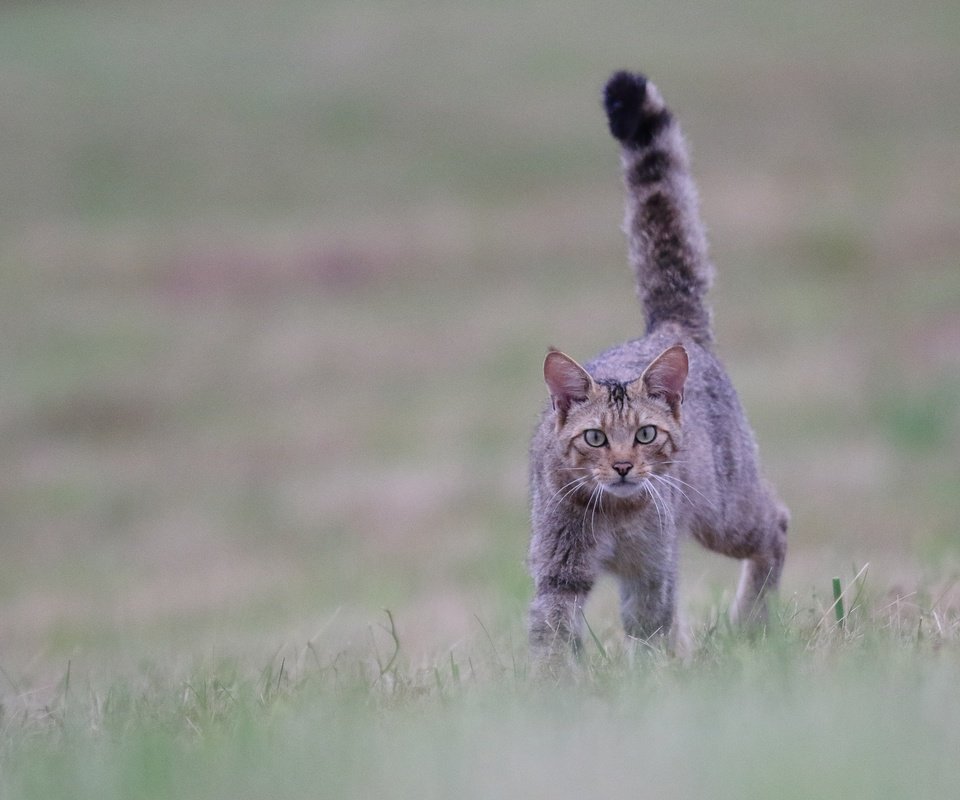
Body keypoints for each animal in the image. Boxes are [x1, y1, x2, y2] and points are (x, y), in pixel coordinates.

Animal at [524, 72, 788, 664]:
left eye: (646, 434)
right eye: (595, 438)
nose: (624, 466)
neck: (616, 516)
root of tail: (669, 327)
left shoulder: (653, 569)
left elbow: (650, 628)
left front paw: (654, 674)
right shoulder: (559, 569)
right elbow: (552, 637)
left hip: (724, 511)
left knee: (778, 521)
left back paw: (750, 620)